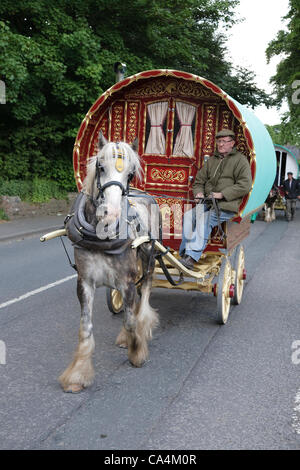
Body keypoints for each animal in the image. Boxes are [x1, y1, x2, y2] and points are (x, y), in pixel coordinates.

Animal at [59, 135, 161, 392]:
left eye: (131, 173)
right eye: (100, 167)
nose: (111, 214)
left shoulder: (126, 281)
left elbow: (130, 320)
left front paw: (137, 351)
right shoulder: (84, 282)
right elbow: (85, 328)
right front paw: (78, 374)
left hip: (149, 256)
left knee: (145, 290)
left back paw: (143, 324)